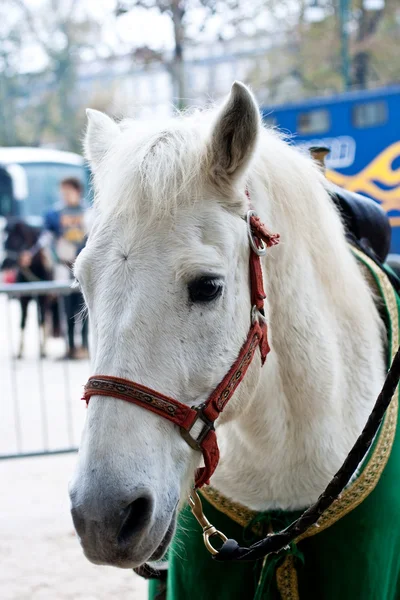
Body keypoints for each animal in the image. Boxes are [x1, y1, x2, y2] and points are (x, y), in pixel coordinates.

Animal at [1, 223, 55, 358]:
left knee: (47, 317)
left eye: (15, 240)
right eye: (4, 241)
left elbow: (41, 320)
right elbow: (22, 321)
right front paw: (19, 351)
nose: (3, 265)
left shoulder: (43, 298)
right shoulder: (23, 299)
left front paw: (43, 351)